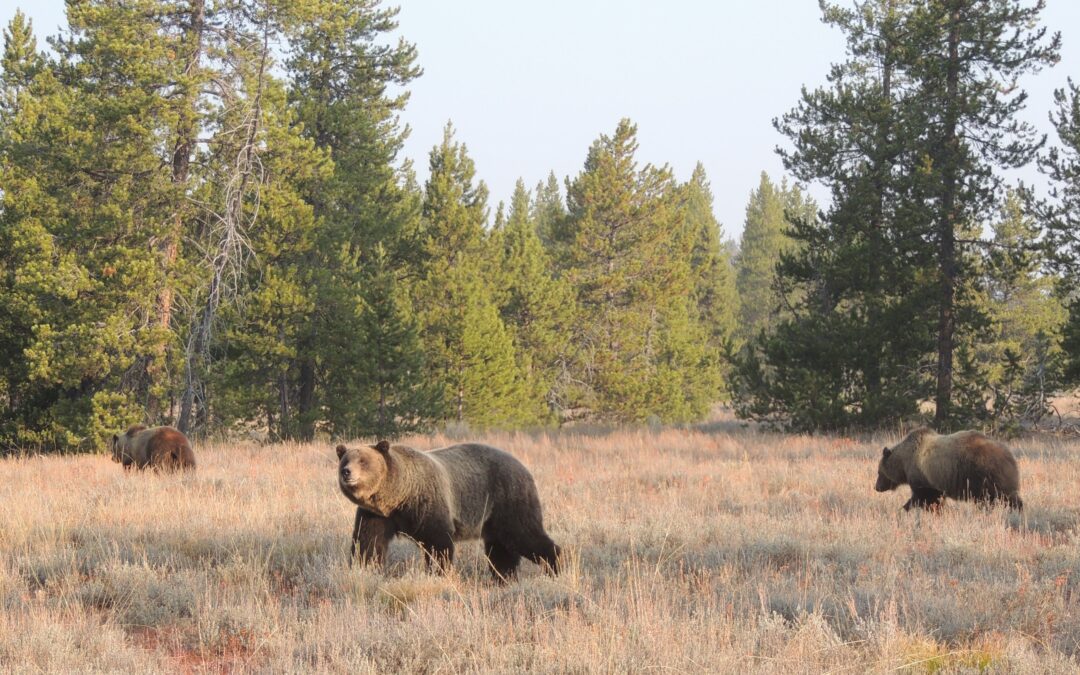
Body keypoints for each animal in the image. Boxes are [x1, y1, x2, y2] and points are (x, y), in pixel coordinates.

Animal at [334, 436, 557, 578]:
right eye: (345, 460)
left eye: (363, 461)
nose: (347, 472)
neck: (398, 497)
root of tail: (523, 466)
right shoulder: (375, 515)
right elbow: (368, 543)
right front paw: (365, 568)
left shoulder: (427, 503)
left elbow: (438, 542)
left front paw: (437, 572)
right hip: (493, 517)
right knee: (501, 548)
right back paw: (504, 576)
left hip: (507, 498)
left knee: (524, 534)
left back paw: (554, 565)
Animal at [876, 425, 1019, 509]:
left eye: (879, 472)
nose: (876, 487)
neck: (904, 463)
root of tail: (1008, 454)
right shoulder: (935, 482)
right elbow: (934, 499)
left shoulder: (923, 477)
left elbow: (923, 497)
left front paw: (905, 508)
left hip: (983, 475)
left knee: (1002, 497)